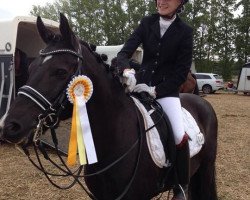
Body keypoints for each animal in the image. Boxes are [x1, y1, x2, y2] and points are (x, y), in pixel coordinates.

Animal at [0, 13, 218, 199]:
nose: (10, 126)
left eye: (60, 71)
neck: (112, 141)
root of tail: (202, 102)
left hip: (206, 169)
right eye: (30, 67)